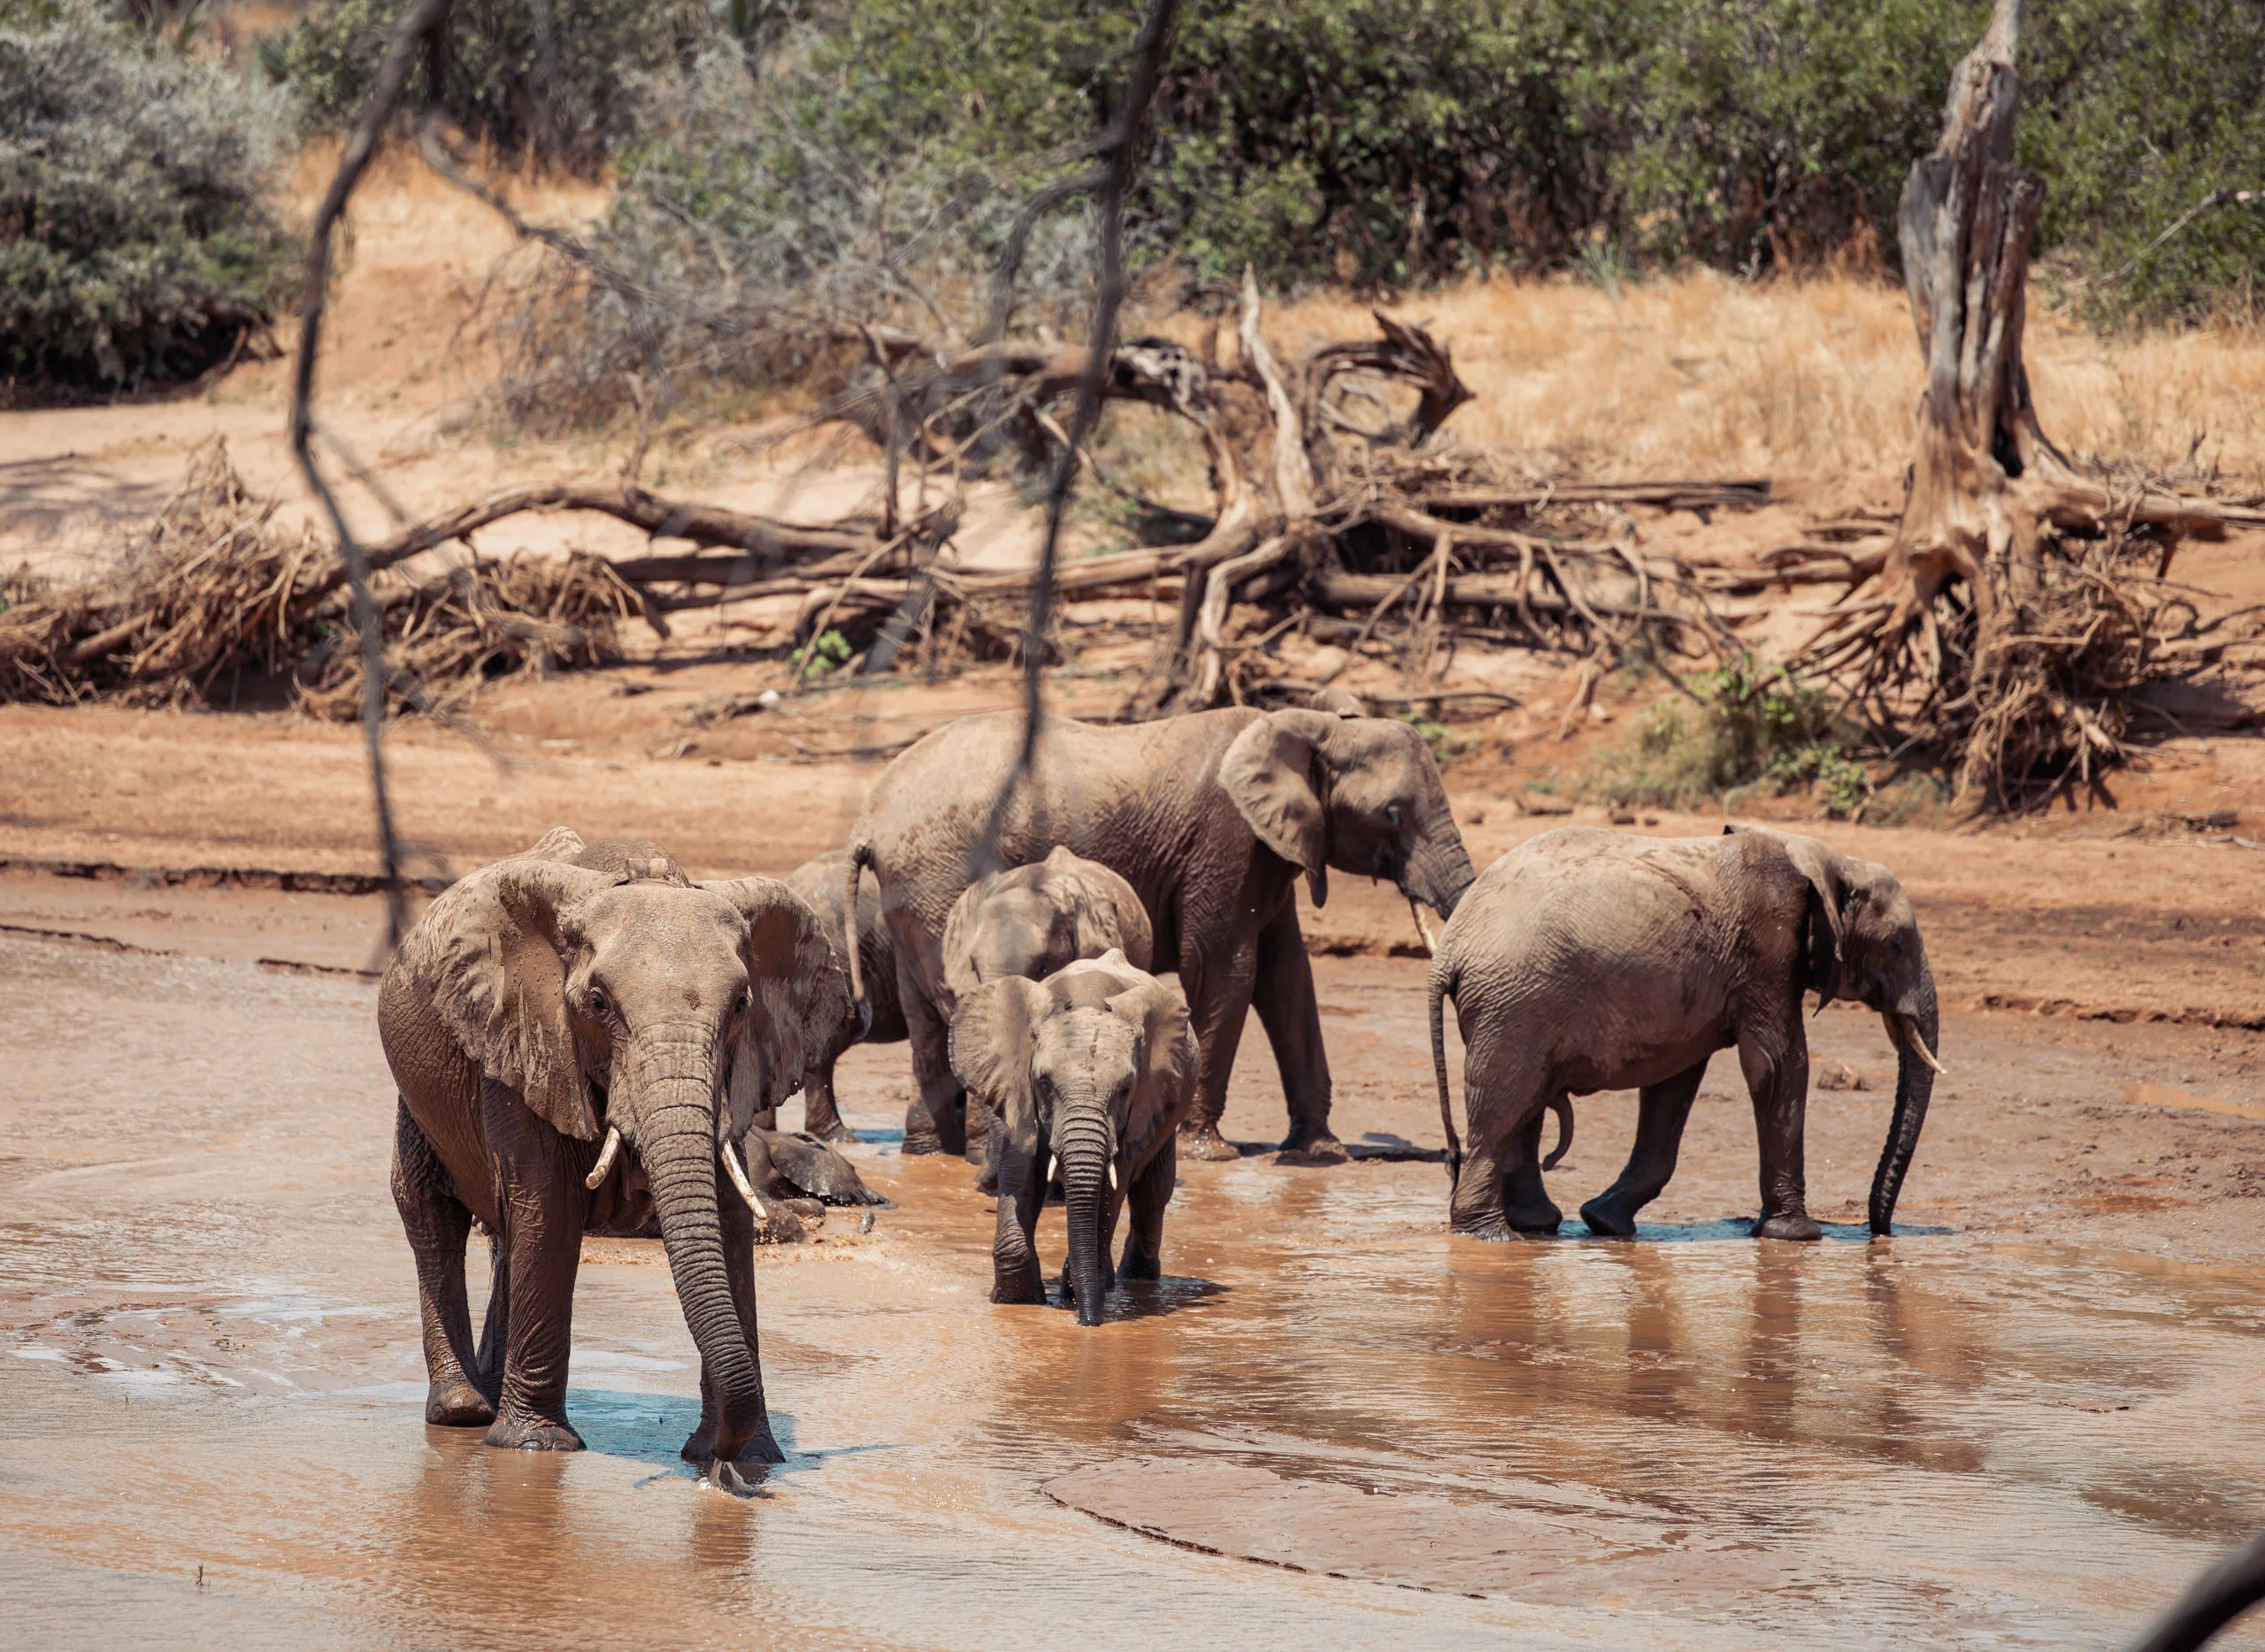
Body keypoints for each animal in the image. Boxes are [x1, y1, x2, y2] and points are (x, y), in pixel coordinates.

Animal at [377, 828, 846, 1487]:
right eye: (598, 1003)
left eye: (740, 1005)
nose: (719, 1473)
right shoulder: (527, 1041)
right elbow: (549, 1206)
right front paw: (535, 1448)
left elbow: (728, 1218)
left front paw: (749, 1457)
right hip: (420, 1092)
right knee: (432, 1211)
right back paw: (464, 1409)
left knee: (504, 1233)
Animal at [844, 704, 1474, 1165]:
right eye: (1392, 813)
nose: (1451, 1155)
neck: (1310, 721)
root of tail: (868, 814)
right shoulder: (1227, 841)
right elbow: (1226, 968)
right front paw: (1210, 1155)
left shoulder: (1269, 852)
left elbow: (1287, 976)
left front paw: (1321, 1154)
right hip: (935, 877)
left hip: (916, 893)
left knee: (924, 1013)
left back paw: (929, 1153)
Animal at [949, 950, 1198, 1324]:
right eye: (1044, 1082)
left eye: (1126, 1089)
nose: (1088, 1323)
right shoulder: (1017, 1089)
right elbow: (1021, 1174)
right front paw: (1016, 1302)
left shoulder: (1140, 1108)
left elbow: (1113, 1189)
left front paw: (1074, 1297)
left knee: (1153, 1193)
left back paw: (1133, 1281)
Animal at [1426, 823, 1941, 1243]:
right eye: (1897, 945)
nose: (1880, 1233)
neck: (1825, 857)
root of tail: (1449, 949)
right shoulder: (1767, 950)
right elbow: (1777, 1065)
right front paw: (1795, 1235)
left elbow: (1675, 1081)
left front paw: (1605, 1222)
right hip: (1515, 1003)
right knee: (1504, 1106)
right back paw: (1492, 1237)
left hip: (1515, 1004)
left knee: (1525, 1106)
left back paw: (1533, 1226)